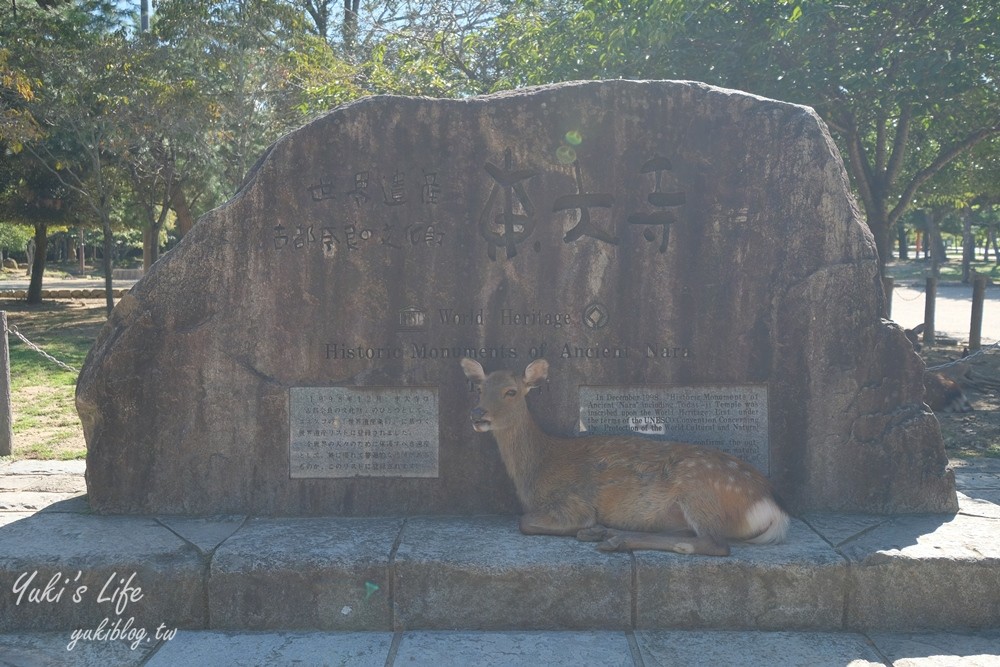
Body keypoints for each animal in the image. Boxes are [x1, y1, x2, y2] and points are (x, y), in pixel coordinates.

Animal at [458, 358, 788, 556]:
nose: (477, 414)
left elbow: (525, 521)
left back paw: (611, 537)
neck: (539, 466)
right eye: (479, 388)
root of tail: (772, 508)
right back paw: (608, 534)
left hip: (700, 489)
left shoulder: (573, 501)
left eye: (511, 391)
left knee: (715, 544)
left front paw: (587, 527)